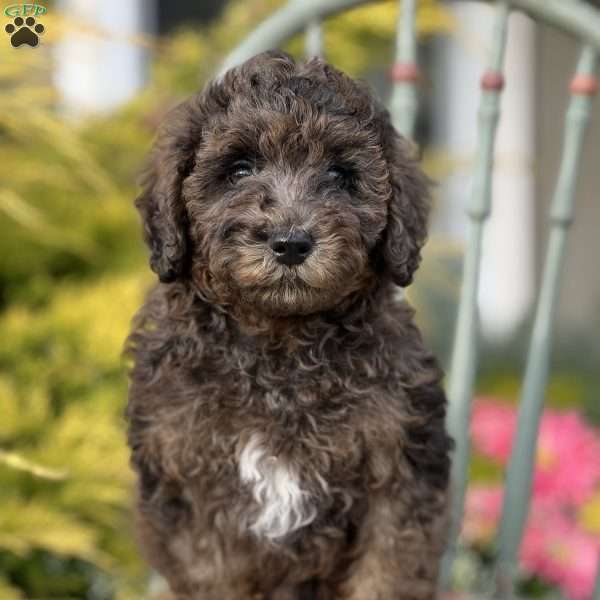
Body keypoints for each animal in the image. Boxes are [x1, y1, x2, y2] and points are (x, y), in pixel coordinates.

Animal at [125, 51, 450, 600]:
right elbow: (214, 577)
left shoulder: (401, 479)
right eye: (239, 170)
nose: (291, 243)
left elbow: (387, 574)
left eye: (340, 175)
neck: (280, 347)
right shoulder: (190, 492)